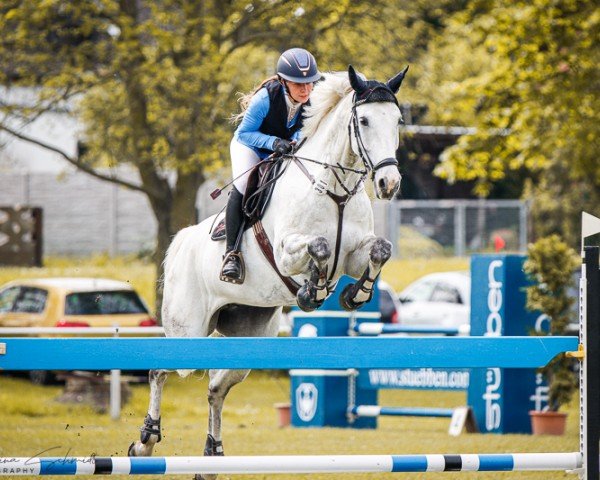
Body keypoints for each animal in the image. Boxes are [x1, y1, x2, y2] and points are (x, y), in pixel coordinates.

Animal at [126, 64, 408, 480]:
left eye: (398, 121)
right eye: (364, 120)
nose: (389, 184)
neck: (335, 190)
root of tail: (181, 242)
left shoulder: (355, 255)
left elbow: (379, 250)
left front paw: (353, 294)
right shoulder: (288, 251)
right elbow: (318, 249)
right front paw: (312, 291)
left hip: (248, 335)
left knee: (216, 388)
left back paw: (211, 457)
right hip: (188, 330)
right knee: (159, 371)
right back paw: (145, 441)